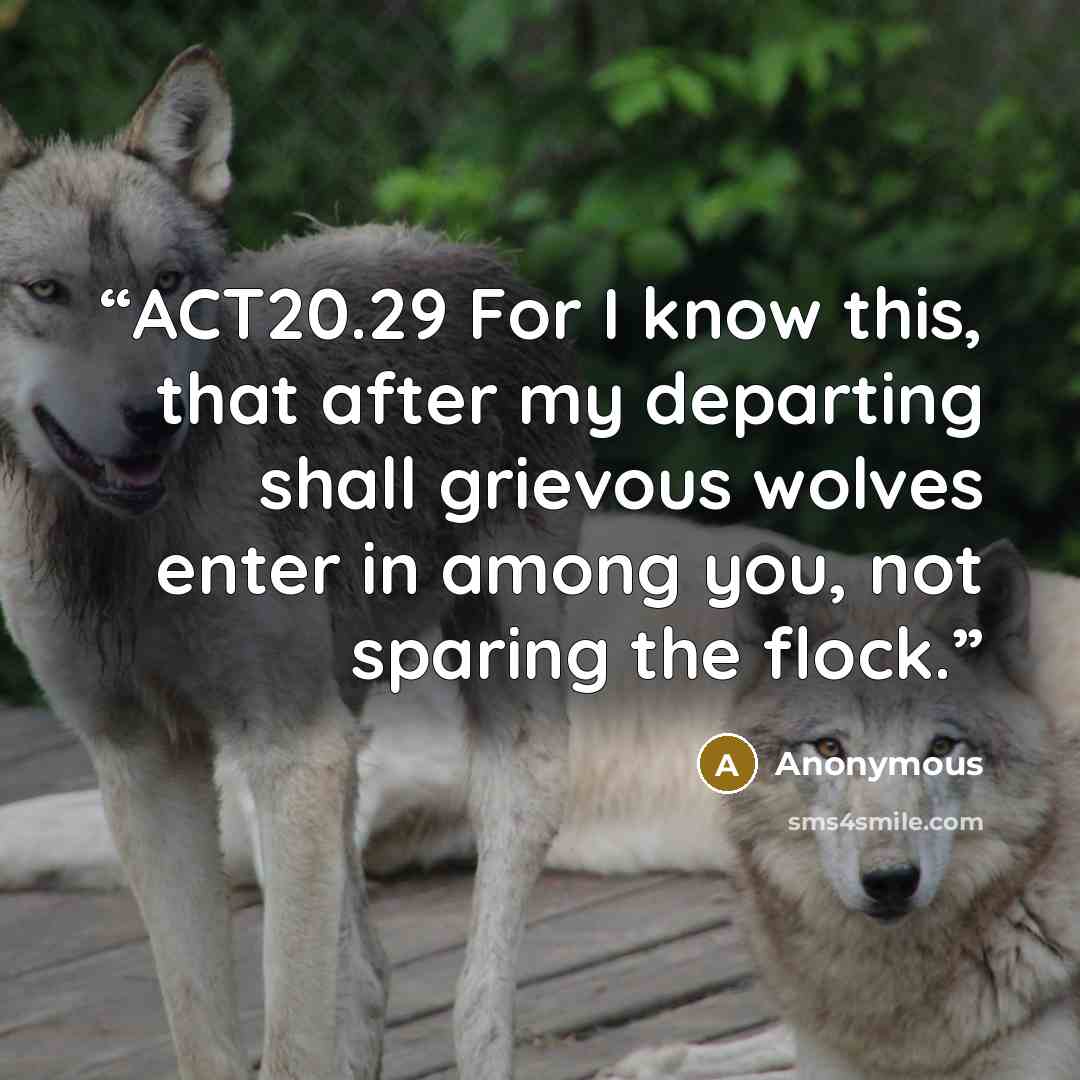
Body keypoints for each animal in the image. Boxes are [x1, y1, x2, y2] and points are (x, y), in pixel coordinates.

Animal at [0, 46, 588, 1080]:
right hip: (329, 737)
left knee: (475, 996)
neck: (124, 551)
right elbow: (206, 1027)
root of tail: (471, 252)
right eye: (46, 291)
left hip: (499, 721)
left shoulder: (285, 747)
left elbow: (292, 1032)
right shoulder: (147, 765)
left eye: (166, 281)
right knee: (370, 974)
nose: (153, 415)